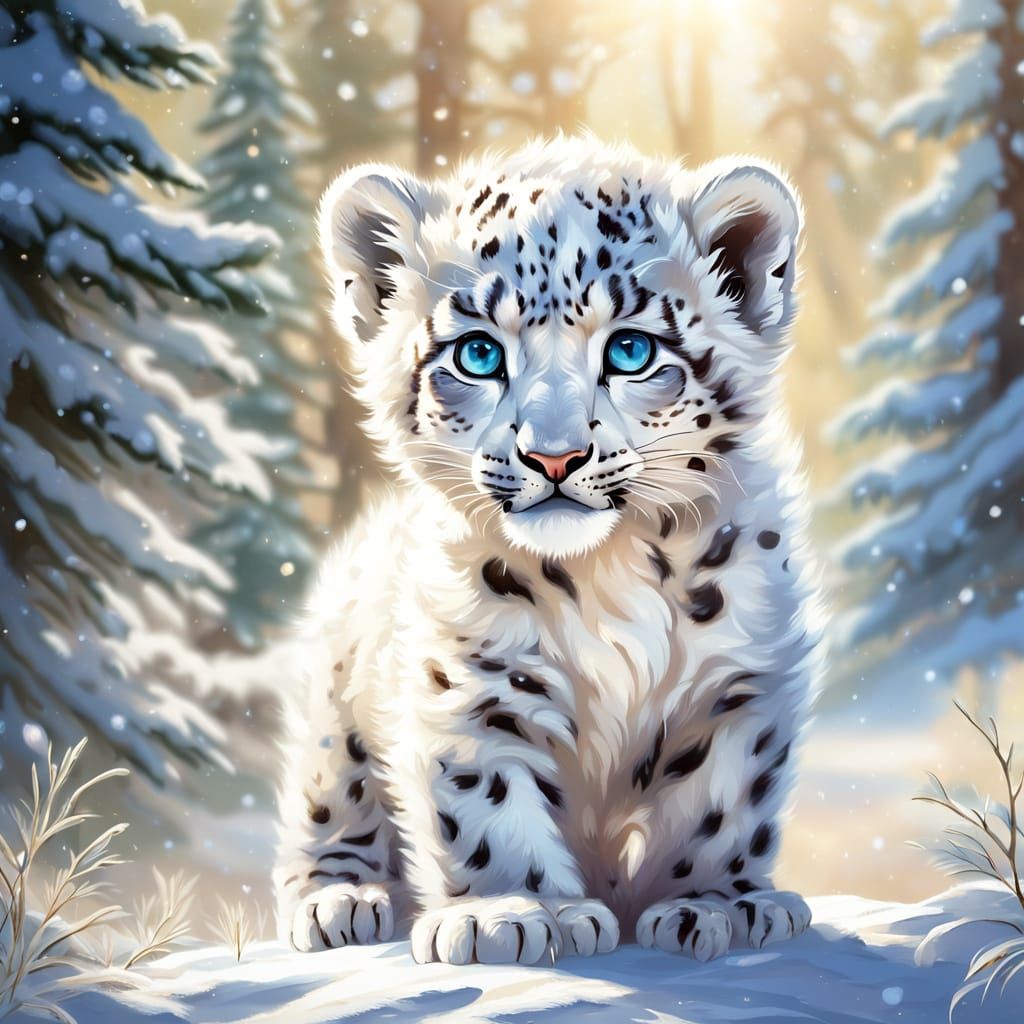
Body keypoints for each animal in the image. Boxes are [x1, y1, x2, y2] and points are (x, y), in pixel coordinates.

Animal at [272, 136, 823, 965]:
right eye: (476, 353)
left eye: (630, 349)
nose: (553, 456)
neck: (607, 573)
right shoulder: (469, 682)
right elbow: (484, 797)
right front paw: (516, 912)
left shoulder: (738, 683)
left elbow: (718, 803)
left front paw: (711, 905)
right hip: (336, 712)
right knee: (330, 799)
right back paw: (341, 899)